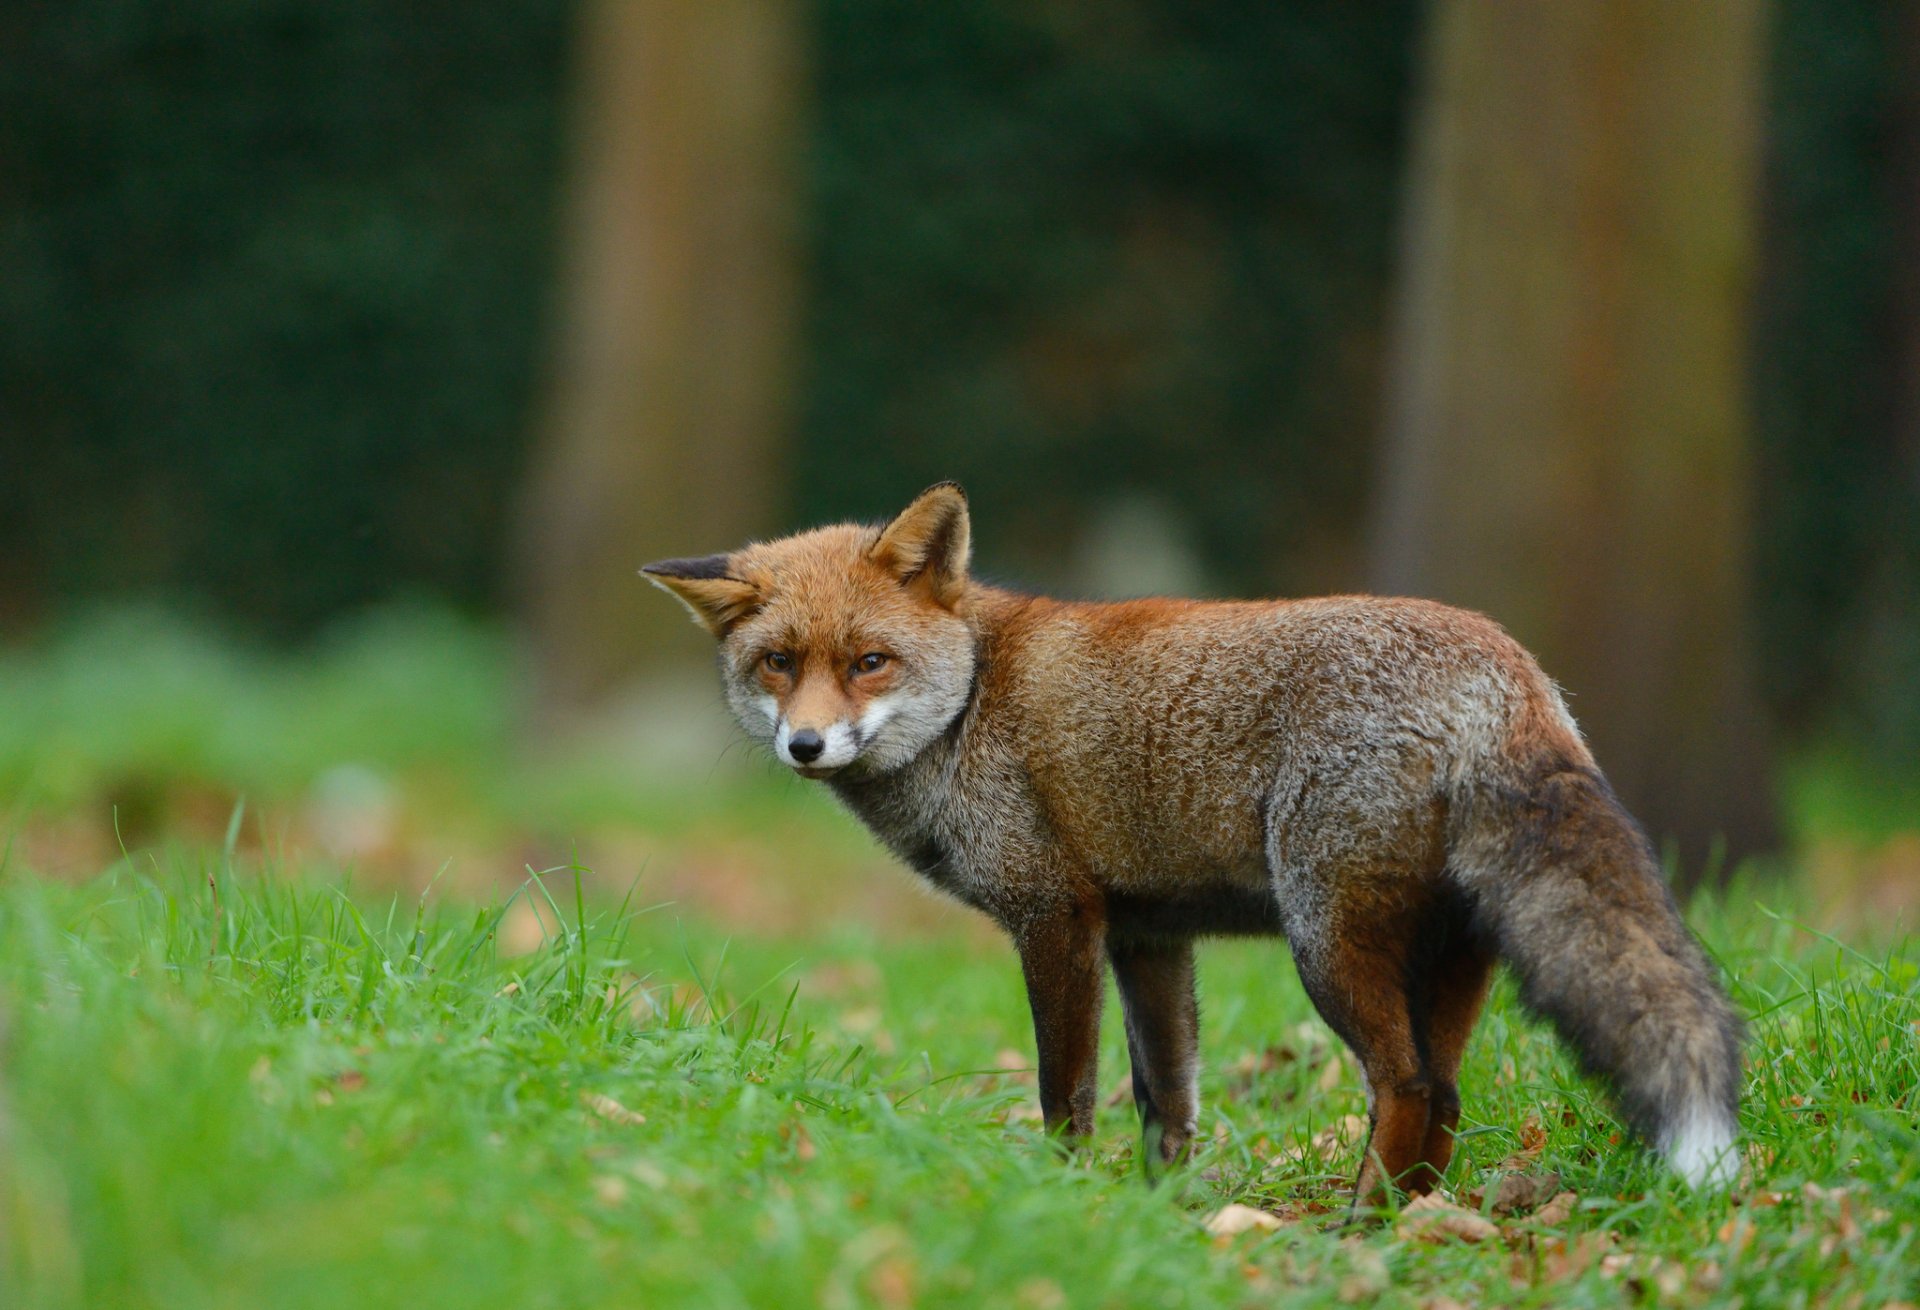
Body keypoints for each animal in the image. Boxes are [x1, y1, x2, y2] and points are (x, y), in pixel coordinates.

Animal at [641, 482, 1743, 1206]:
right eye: (778, 665)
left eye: (869, 662)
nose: (805, 744)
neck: (971, 703)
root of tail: (1510, 668)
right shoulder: (1148, 937)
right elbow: (1166, 1099)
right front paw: (1157, 1218)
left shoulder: (1056, 918)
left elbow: (1067, 1092)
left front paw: (1063, 1201)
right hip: (1448, 955)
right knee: (1449, 1097)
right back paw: (1410, 1221)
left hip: (1327, 942)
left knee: (1408, 1087)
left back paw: (1358, 1230)